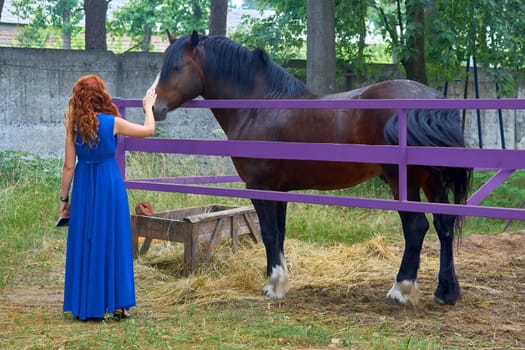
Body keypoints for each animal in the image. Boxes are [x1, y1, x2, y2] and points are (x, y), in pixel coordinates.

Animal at [150, 31, 470, 308]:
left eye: (176, 67)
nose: (156, 108)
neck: (260, 107)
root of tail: (431, 102)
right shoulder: (279, 190)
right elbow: (279, 233)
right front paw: (279, 280)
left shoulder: (260, 187)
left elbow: (268, 233)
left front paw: (272, 286)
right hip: (432, 181)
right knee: (444, 226)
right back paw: (446, 291)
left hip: (402, 181)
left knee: (416, 228)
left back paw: (401, 290)